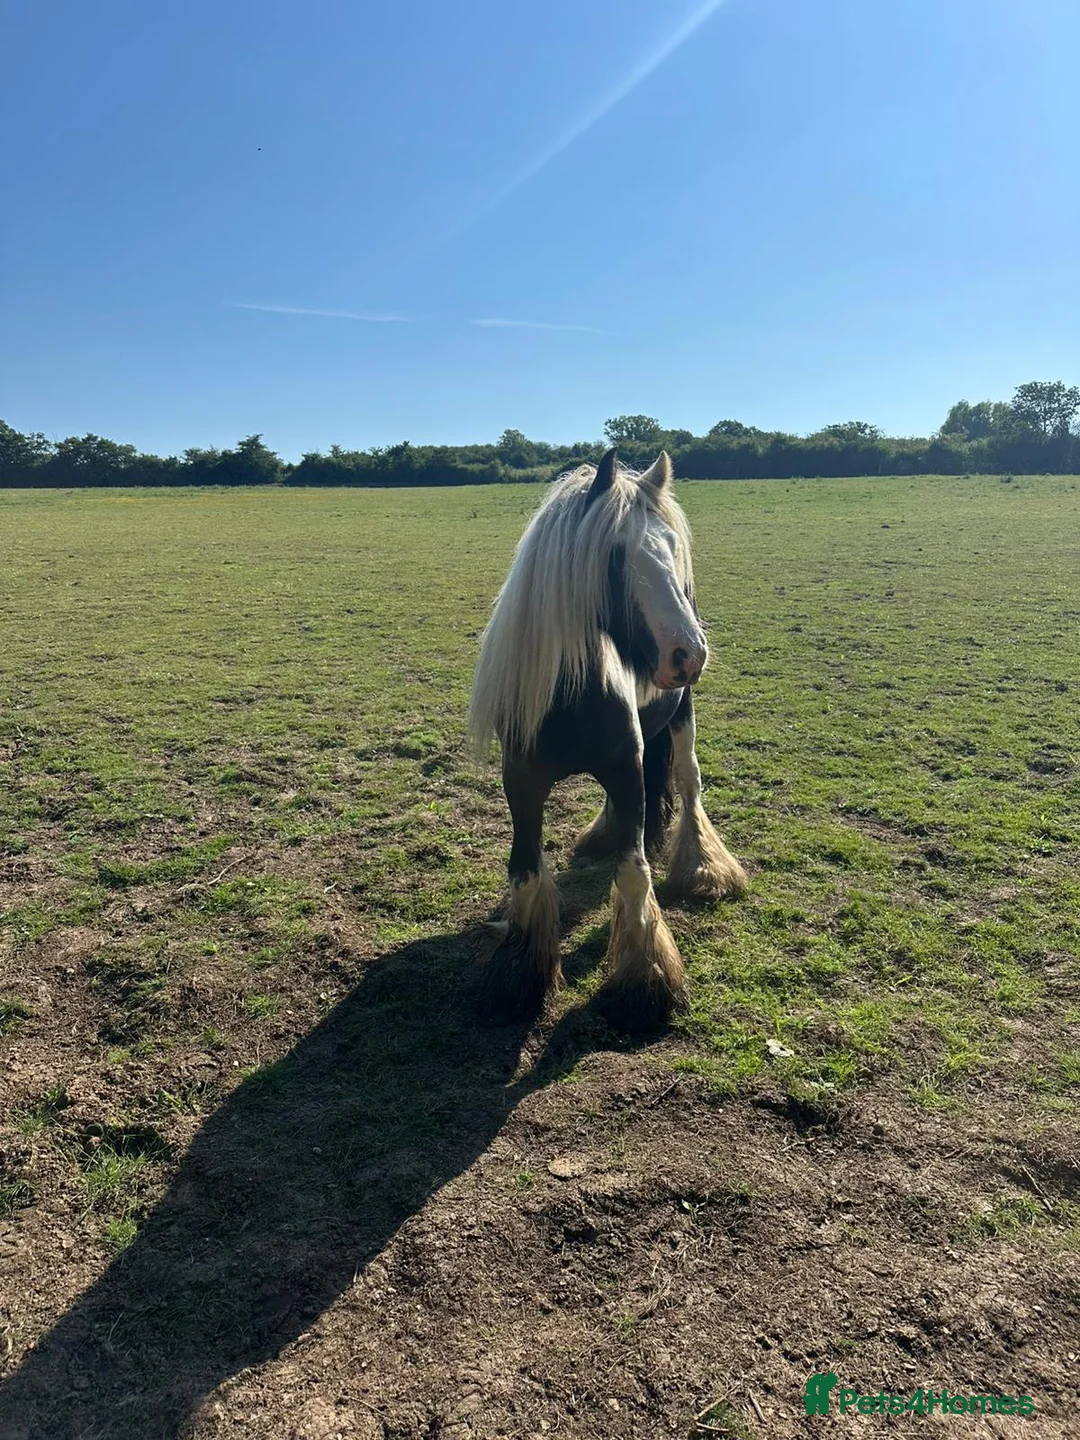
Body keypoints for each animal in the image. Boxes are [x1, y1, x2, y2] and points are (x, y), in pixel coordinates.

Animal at [468, 448, 746, 1030]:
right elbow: (525, 871)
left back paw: (704, 868)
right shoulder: (522, 783)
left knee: (688, 784)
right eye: (616, 556)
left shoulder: (627, 768)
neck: (568, 696)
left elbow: (635, 873)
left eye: (669, 545)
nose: (688, 653)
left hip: (682, 716)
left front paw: (645, 983)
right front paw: (520, 976)